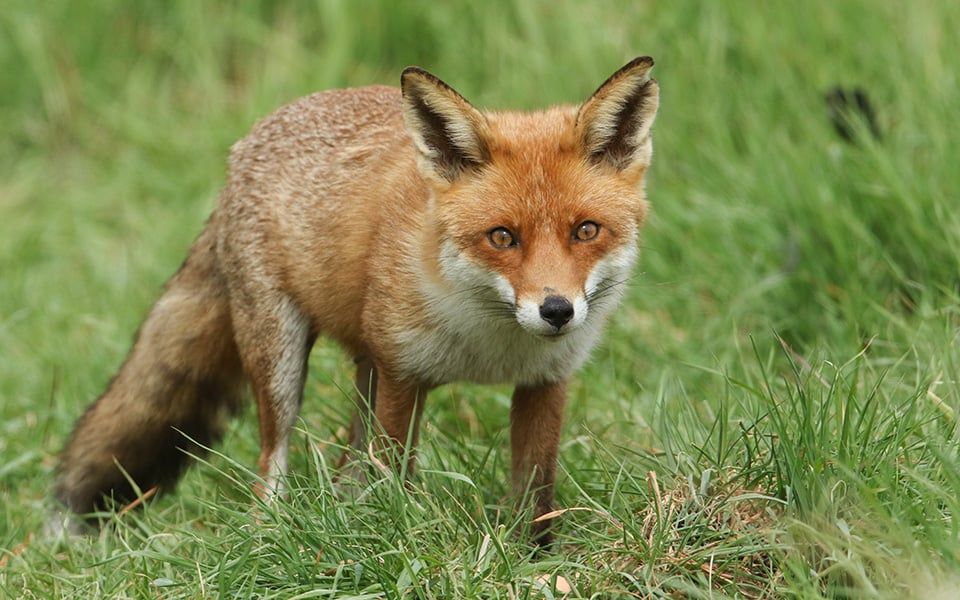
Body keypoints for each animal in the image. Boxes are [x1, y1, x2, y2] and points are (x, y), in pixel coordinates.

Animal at [51, 56, 660, 544]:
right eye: (502, 237)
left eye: (586, 231)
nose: (556, 310)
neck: (489, 341)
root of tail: (247, 143)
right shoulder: (404, 375)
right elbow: (394, 475)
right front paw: (402, 540)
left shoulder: (544, 381)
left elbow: (536, 493)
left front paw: (535, 561)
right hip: (282, 361)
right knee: (273, 461)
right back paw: (272, 533)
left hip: (366, 368)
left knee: (347, 462)